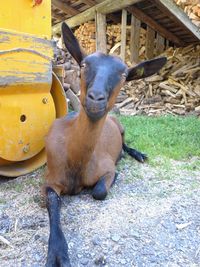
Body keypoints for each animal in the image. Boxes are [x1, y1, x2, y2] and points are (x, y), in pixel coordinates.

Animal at [44, 23, 167, 267]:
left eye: (124, 74)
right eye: (83, 64)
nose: (96, 98)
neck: (76, 161)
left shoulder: (105, 168)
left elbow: (99, 191)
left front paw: (116, 176)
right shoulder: (50, 179)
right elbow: (53, 203)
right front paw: (57, 253)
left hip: (121, 125)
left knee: (126, 143)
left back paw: (136, 154)